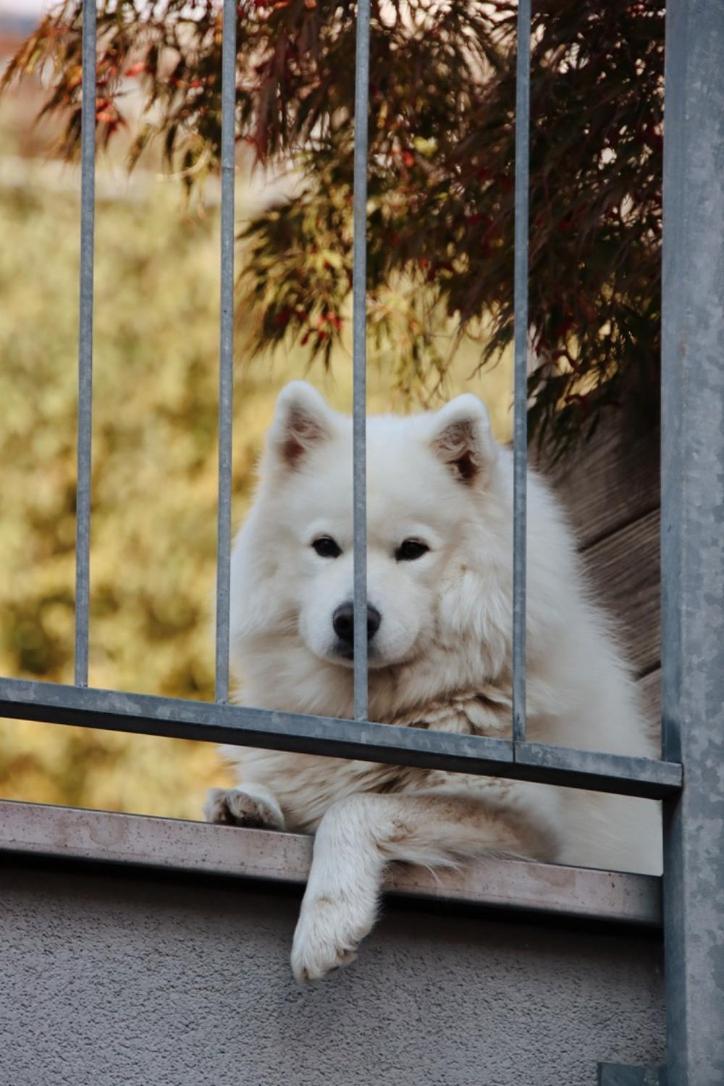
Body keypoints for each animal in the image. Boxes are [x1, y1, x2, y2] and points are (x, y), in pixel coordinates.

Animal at [205, 384, 664, 986]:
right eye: (325, 546)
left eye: (412, 549)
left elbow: (359, 808)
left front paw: (328, 922)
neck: (387, 714)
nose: (353, 621)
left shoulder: (530, 824)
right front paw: (250, 802)